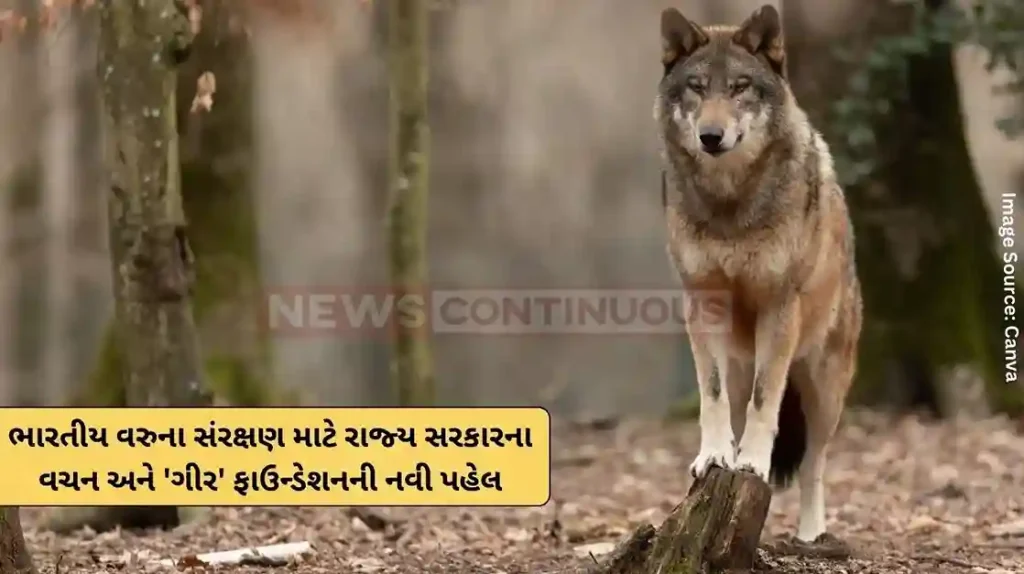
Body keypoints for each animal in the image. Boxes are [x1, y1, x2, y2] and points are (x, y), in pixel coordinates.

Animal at [654, 4, 863, 543]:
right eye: (697, 87)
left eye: (740, 87)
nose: (711, 137)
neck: (730, 203)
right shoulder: (701, 302)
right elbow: (711, 395)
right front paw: (714, 457)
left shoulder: (778, 307)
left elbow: (766, 402)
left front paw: (751, 464)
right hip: (741, 359)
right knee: (736, 401)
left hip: (823, 390)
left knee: (813, 465)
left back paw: (811, 536)